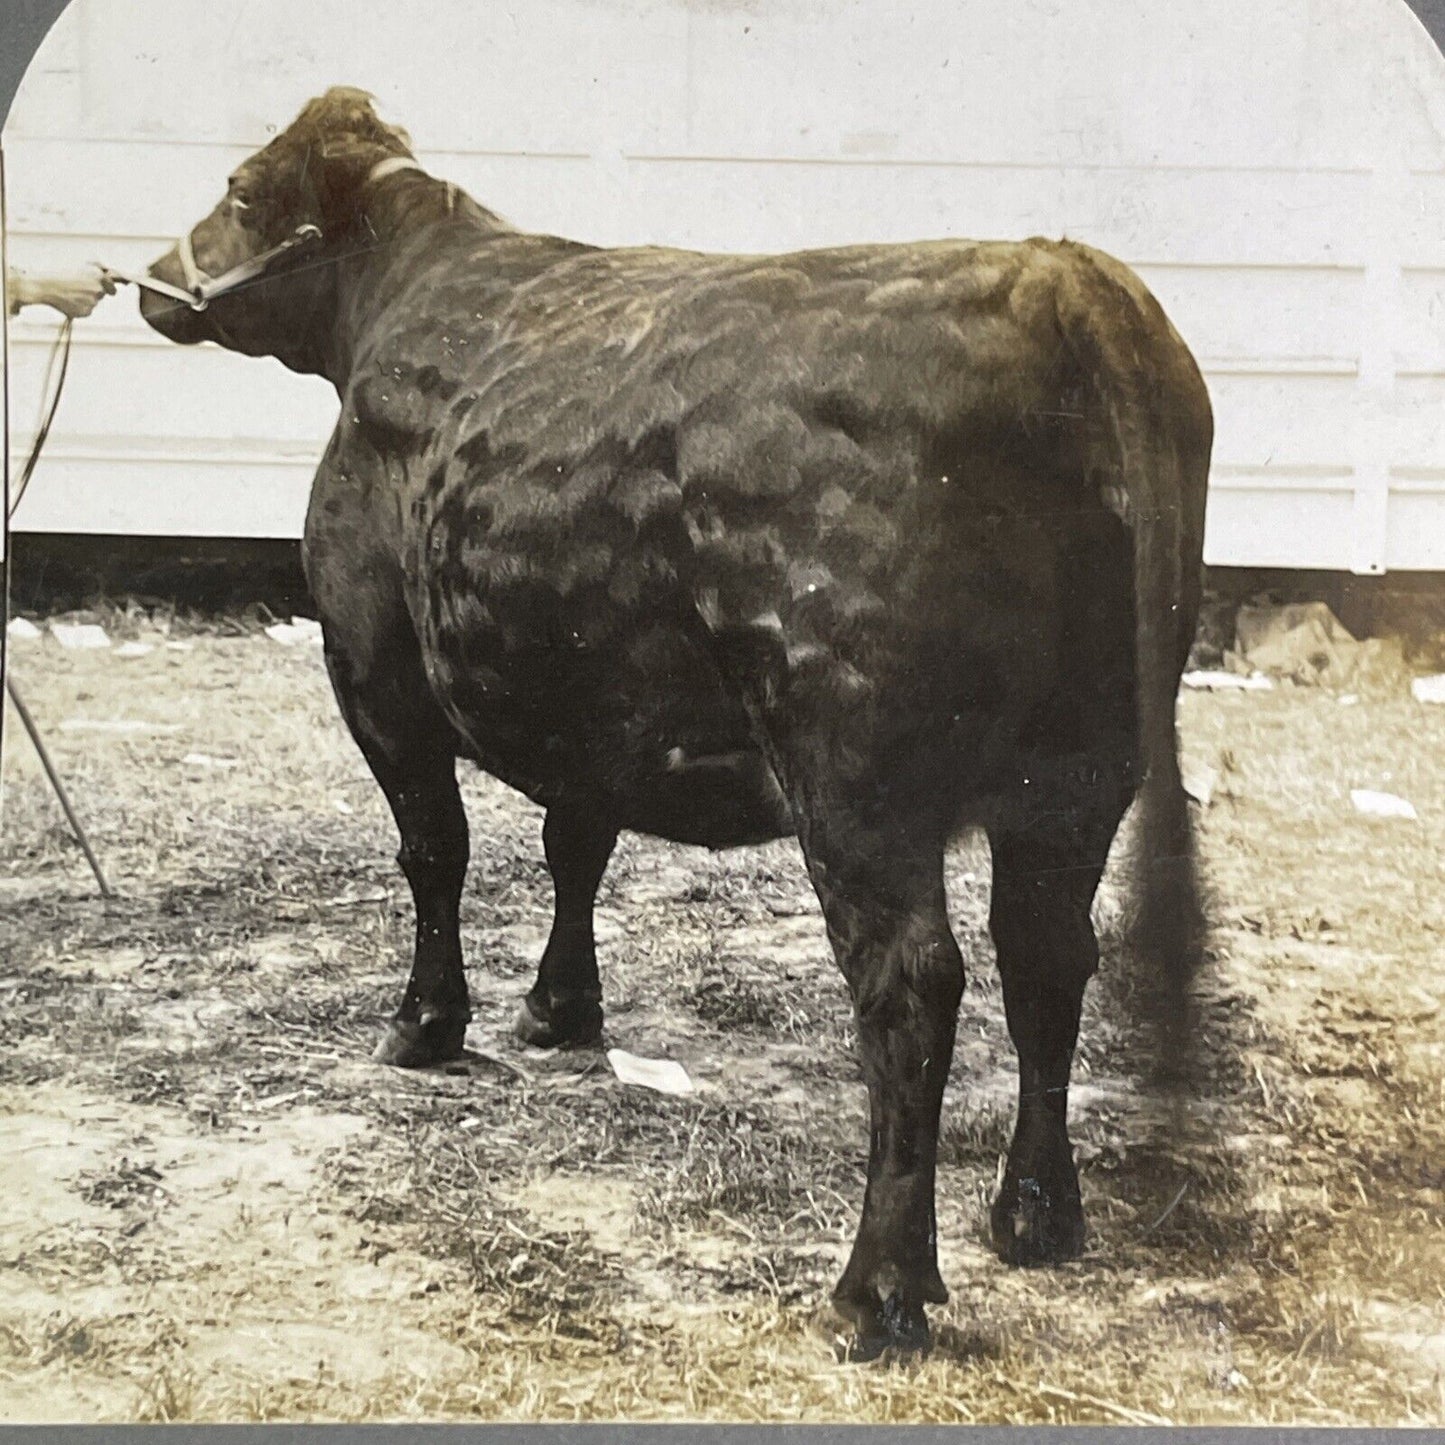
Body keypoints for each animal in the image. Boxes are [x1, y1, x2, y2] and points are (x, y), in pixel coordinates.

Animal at [140, 87, 1213, 1352]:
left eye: (243, 189)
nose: (154, 276)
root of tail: (1058, 275)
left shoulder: (373, 673)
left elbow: (434, 852)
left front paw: (425, 1023)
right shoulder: (582, 705)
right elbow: (575, 843)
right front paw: (559, 1010)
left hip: (855, 777)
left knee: (911, 983)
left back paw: (878, 1288)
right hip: (1084, 767)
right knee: (1045, 954)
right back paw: (1034, 1214)